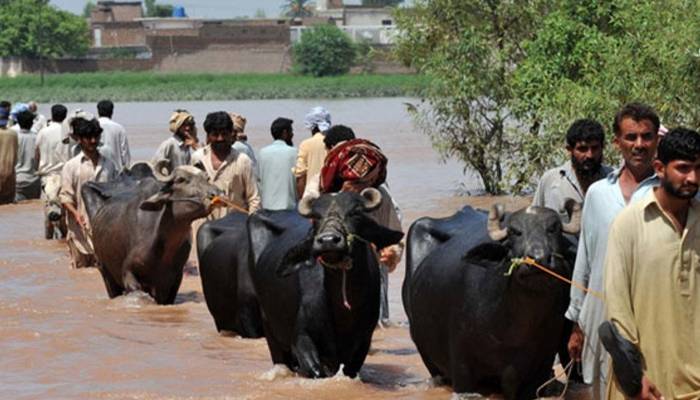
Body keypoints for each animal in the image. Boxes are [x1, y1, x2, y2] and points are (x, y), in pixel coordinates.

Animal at [83, 161, 223, 304]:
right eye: (181, 180)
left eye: (206, 178)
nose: (215, 193)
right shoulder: (128, 273)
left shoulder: (175, 279)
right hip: (106, 273)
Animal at [250, 189, 404, 380]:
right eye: (317, 217)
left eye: (355, 213)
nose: (328, 240)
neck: (343, 311)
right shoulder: (302, 338)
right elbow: (316, 371)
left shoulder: (363, 342)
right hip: (270, 328)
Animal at [402, 205, 584, 398]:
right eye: (515, 232)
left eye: (553, 229)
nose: (538, 259)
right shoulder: (462, 367)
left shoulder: (540, 367)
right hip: (425, 352)